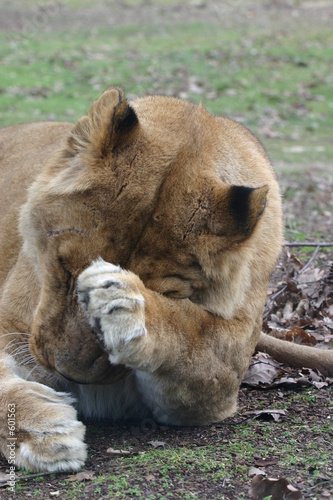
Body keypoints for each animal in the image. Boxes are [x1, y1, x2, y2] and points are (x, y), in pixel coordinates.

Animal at [0, 87, 330, 472]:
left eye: (160, 291)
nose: (70, 375)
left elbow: (191, 337)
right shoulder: (12, 325)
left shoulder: (225, 367)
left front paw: (126, 305)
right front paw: (44, 431)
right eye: (63, 265)